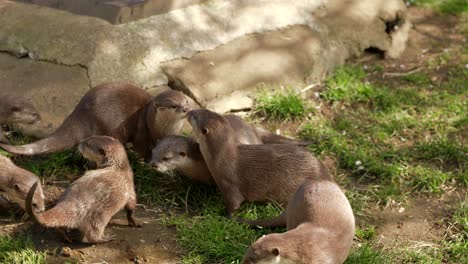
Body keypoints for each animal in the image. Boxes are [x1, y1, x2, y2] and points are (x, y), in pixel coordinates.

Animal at [0, 82, 190, 160]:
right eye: (174, 105)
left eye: (187, 101)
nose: (186, 109)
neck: (160, 127)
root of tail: (79, 113)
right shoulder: (142, 129)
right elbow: (142, 148)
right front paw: (149, 161)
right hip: (110, 125)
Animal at [186, 109, 332, 217]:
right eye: (200, 110)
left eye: (194, 117)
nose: (189, 111)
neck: (221, 158)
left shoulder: (229, 183)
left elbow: (234, 204)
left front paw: (225, 216)